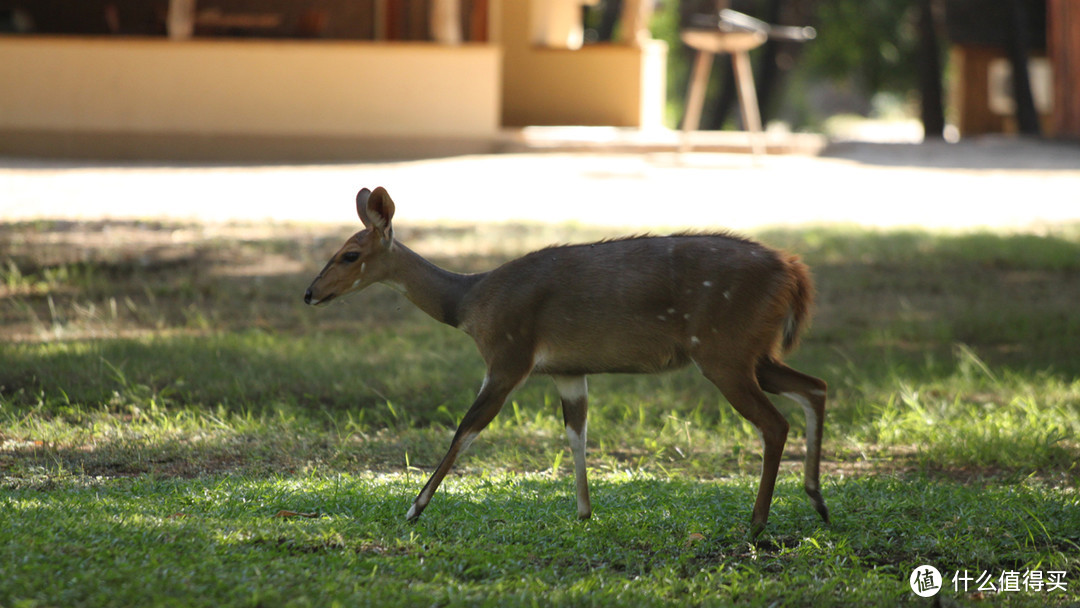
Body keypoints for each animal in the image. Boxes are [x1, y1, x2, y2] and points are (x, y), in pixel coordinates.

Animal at [308, 186, 829, 537]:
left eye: (350, 253)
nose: (310, 293)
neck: (471, 302)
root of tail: (794, 272)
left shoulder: (508, 358)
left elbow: (466, 430)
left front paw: (414, 509)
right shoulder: (566, 371)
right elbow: (576, 432)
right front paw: (583, 512)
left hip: (724, 353)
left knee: (775, 422)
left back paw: (757, 522)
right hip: (753, 353)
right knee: (815, 387)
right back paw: (817, 501)